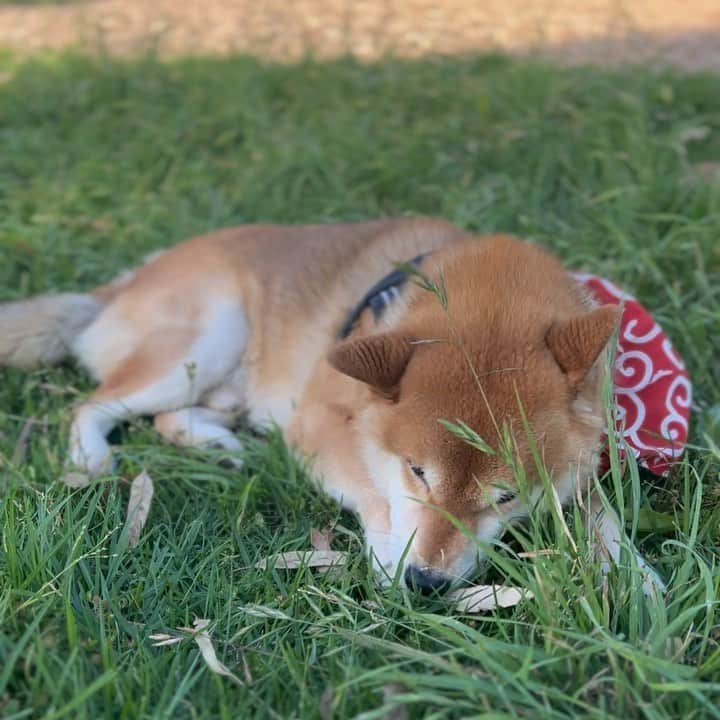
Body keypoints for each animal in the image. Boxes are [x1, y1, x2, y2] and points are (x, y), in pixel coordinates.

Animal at [0, 217, 664, 592]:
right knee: (92, 405)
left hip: (228, 382)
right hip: (209, 336)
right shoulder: (316, 424)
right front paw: (393, 551)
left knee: (170, 415)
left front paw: (632, 579)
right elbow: (370, 486)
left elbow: (602, 513)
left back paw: (215, 444)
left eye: (506, 496)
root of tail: (127, 280)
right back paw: (89, 457)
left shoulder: (584, 461)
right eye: (417, 472)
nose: (427, 582)